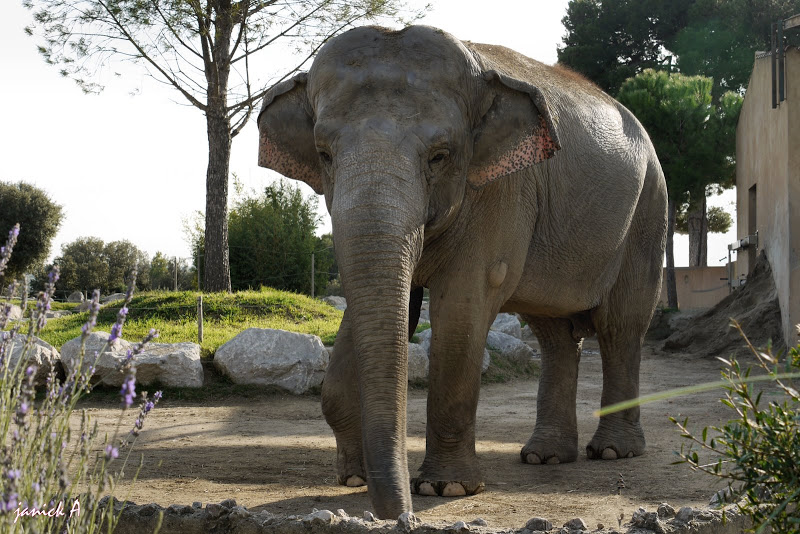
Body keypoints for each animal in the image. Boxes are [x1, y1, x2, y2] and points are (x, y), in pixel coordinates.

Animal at [258, 24, 668, 520]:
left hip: (648, 212)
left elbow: (461, 308)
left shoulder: (502, 188)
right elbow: (374, 309)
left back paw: (612, 452)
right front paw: (354, 478)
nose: (401, 516)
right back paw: (545, 456)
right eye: (323, 154)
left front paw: (447, 488)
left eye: (439, 156)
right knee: (553, 335)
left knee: (620, 326)